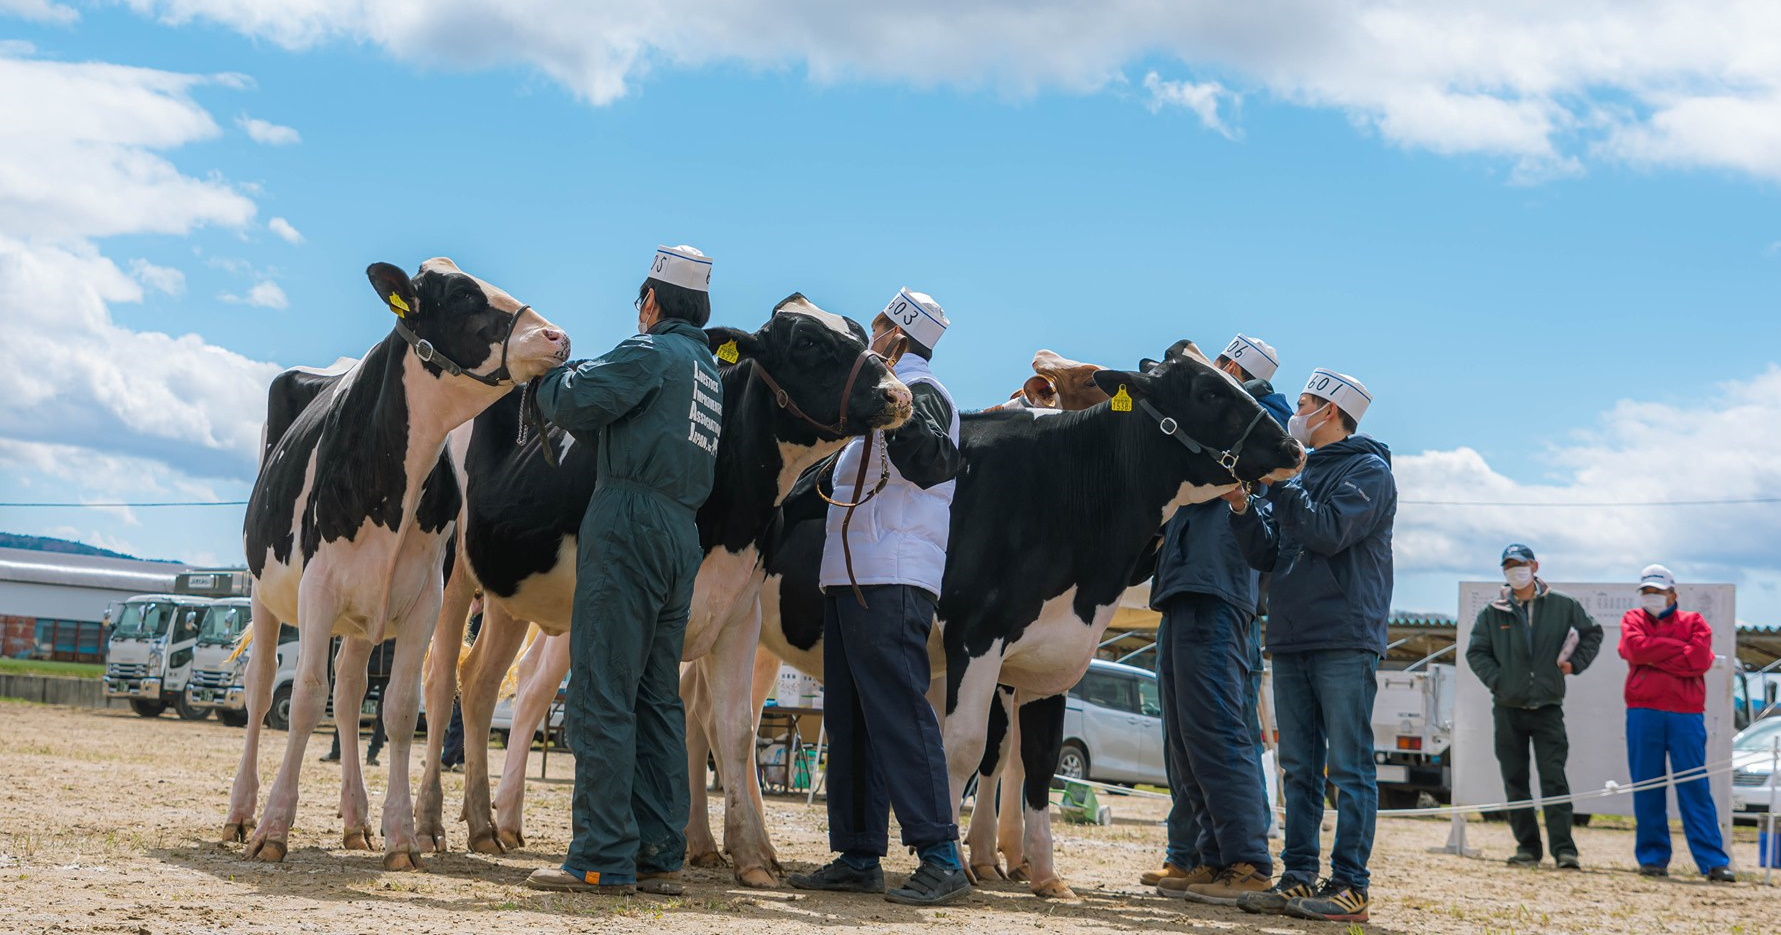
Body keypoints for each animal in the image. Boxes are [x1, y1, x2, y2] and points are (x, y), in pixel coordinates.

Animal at [222, 256, 566, 869]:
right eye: (462, 294)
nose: (557, 337)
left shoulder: (423, 598)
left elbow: (401, 709)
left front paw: (402, 836)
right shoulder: (317, 591)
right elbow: (305, 698)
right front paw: (273, 829)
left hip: (365, 615)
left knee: (351, 690)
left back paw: (357, 822)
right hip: (265, 592)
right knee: (261, 688)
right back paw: (240, 814)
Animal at [452, 297, 911, 883]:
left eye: (859, 335)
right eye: (808, 341)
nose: (898, 394)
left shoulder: (738, 613)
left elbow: (733, 730)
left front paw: (750, 858)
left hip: (507, 596)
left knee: (480, 682)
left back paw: (485, 825)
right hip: (447, 577)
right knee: (442, 679)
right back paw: (426, 829)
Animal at [751, 341, 1296, 897]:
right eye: (1209, 392)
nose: (1294, 448)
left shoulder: (1051, 656)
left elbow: (1037, 760)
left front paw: (1045, 874)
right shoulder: (975, 638)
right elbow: (963, 747)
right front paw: (960, 862)